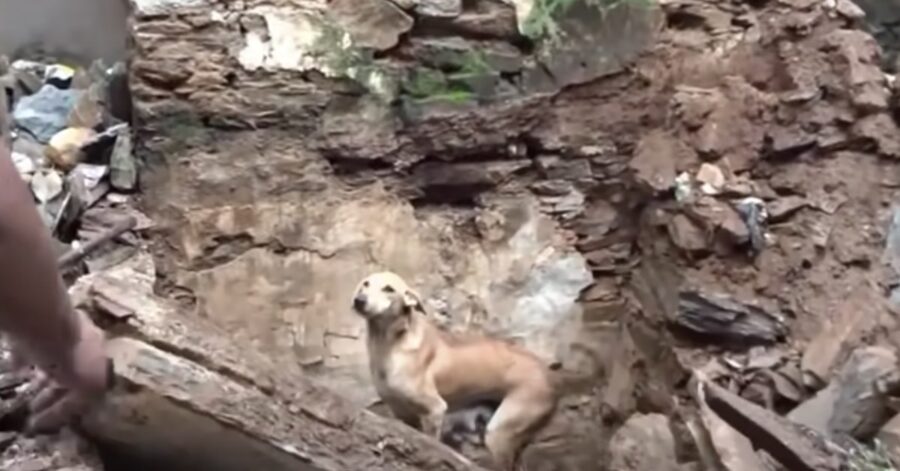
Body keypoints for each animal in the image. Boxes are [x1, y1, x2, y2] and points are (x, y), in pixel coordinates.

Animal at [352, 272, 556, 470]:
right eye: (365, 284)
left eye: (389, 289)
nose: (359, 300)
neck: (389, 344)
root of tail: (549, 376)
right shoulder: (403, 415)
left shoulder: (435, 410)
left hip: (499, 433)